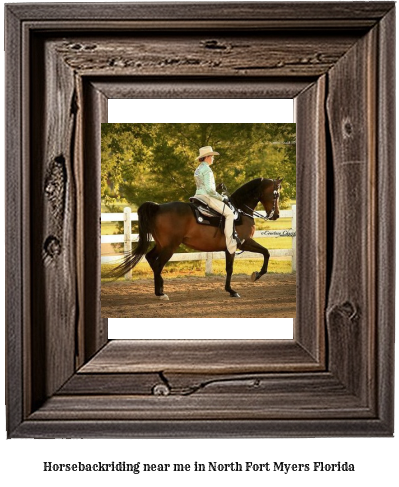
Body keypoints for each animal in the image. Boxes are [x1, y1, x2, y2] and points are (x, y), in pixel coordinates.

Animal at [111, 178, 282, 302]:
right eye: (276, 194)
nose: (276, 215)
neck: (239, 211)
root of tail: (158, 207)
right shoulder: (242, 243)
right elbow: (260, 256)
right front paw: (249, 280)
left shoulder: (232, 247)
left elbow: (258, 256)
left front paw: (235, 287)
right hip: (170, 247)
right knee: (158, 264)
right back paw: (161, 293)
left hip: (161, 245)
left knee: (150, 258)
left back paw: (160, 289)